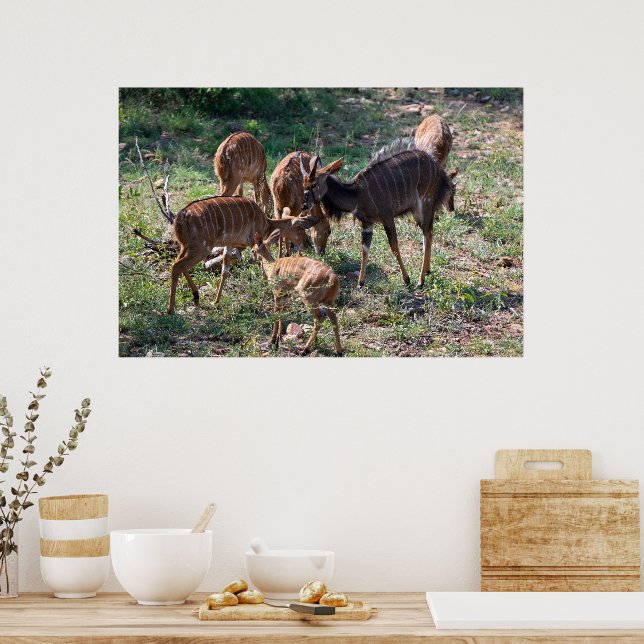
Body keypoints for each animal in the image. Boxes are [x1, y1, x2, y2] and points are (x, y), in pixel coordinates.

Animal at [168, 196, 317, 313]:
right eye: (300, 228)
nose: (307, 243)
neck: (266, 224)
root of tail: (181, 216)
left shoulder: (229, 244)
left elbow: (225, 271)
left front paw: (216, 301)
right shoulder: (253, 241)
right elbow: (263, 265)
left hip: (185, 246)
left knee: (178, 264)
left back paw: (196, 297)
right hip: (201, 247)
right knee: (177, 266)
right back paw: (171, 309)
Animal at [300, 143, 456, 288]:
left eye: (314, 184)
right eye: (303, 183)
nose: (304, 205)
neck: (357, 195)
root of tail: (438, 169)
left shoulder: (387, 217)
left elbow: (394, 246)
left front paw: (407, 280)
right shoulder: (367, 224)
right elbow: (364, 249)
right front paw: (360, 283)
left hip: (424, 204)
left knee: (427, 233)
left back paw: (420, 281)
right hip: (417, 211)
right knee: (428, 233)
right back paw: (428, 271)